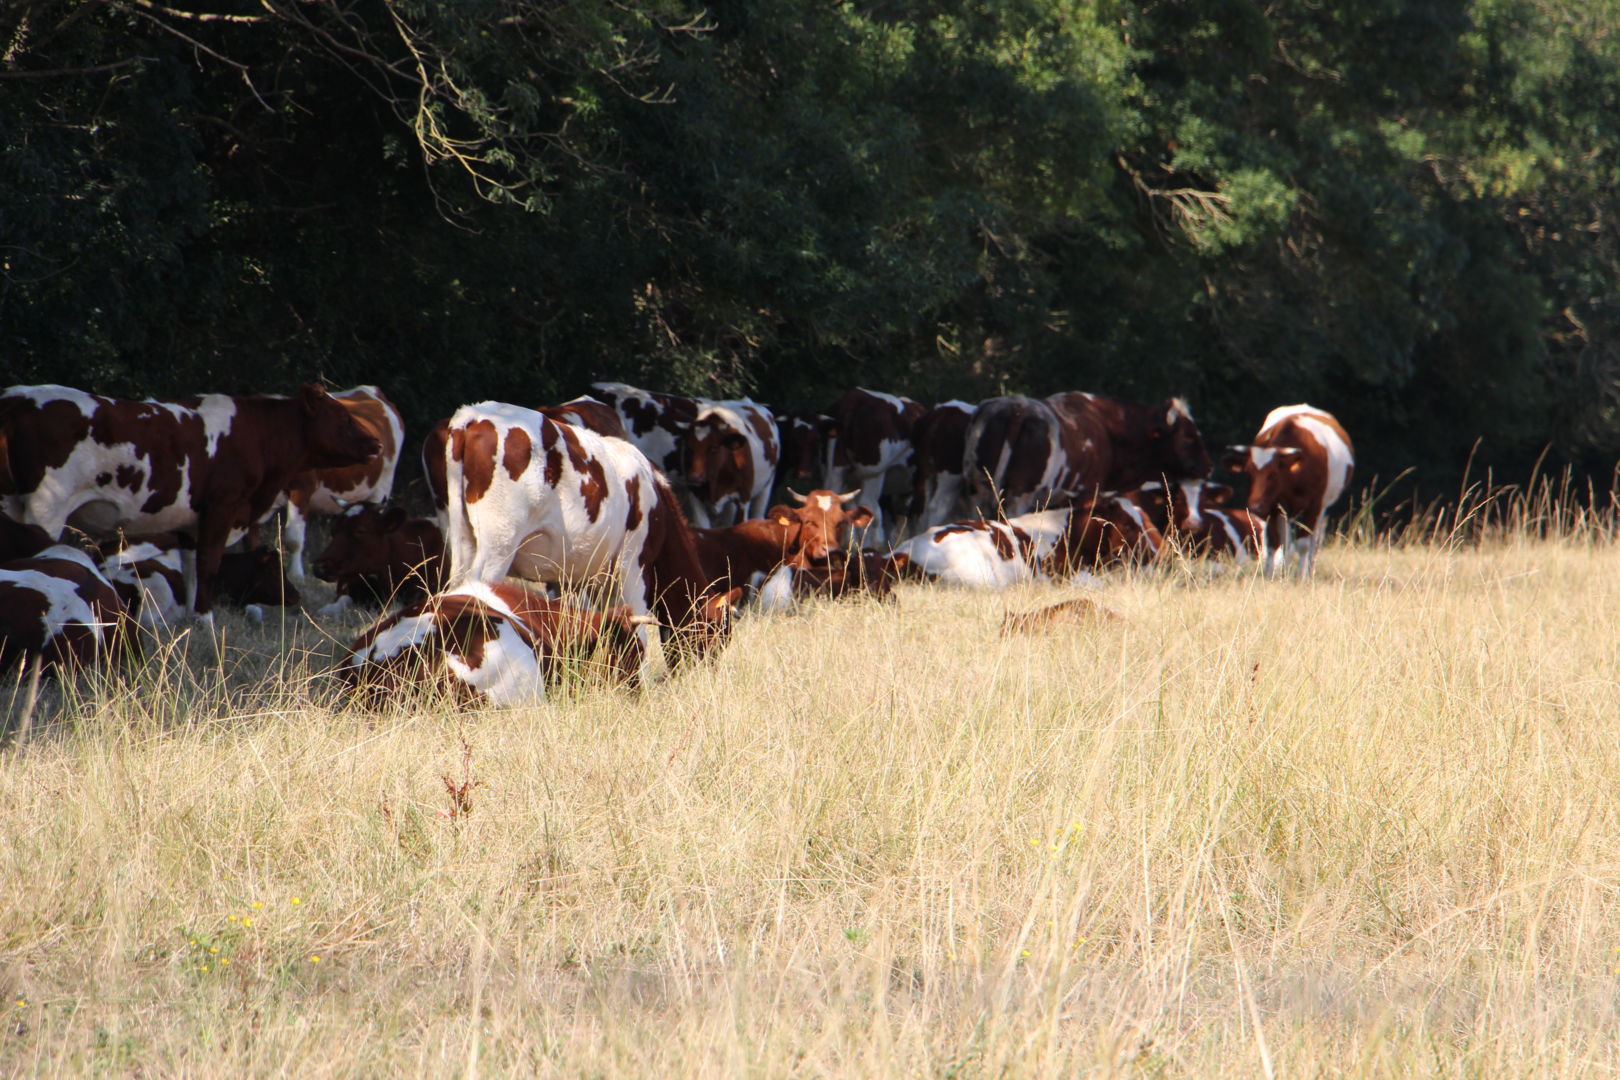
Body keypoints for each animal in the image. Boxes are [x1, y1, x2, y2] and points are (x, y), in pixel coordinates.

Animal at [0, 382, 375, 621]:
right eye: (344, 418)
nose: (377, 443)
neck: (256, 435)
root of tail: (16, 398)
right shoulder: (222, 507)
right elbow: (209, 564)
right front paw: (207, 621)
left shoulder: (190, 523)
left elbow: (193, 568)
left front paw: (193, 619)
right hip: (45, 508)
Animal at [440, 399, 738, 667]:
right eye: (717, 636)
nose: (706, 671)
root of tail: (473, 416)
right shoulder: (633, 567)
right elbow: (637, 638)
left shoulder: (581, 579)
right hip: (499, 545)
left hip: (464, 542)